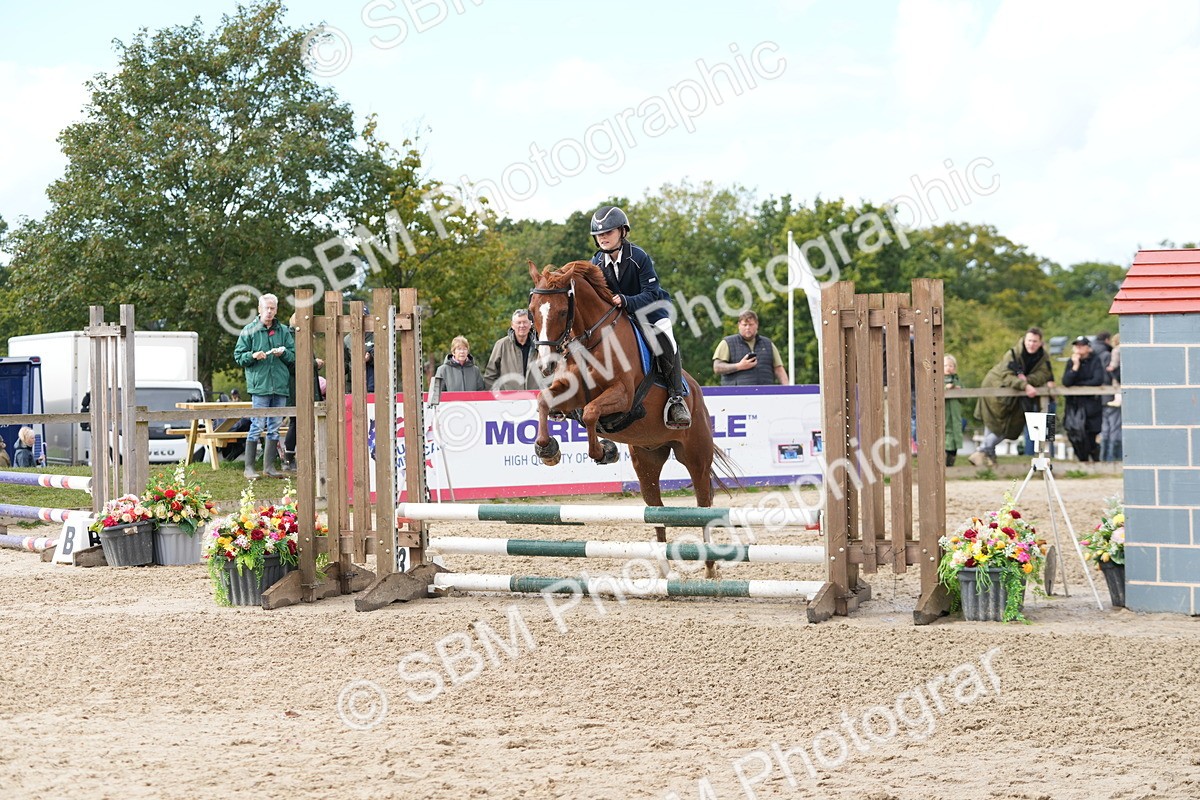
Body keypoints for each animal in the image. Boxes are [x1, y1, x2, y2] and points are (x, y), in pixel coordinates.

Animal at [526, 259, 738, 550]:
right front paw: (548, 450)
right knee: (656, 509)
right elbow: (544, 402)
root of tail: (697, 394)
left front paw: (604, 451)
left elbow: (591, 413)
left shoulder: (624, 396)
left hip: (696, 456)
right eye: (531, 312)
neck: (593, 341)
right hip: (647, 460)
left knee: (702, 505)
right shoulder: (573, 394)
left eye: (561, 312)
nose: (546, 365)